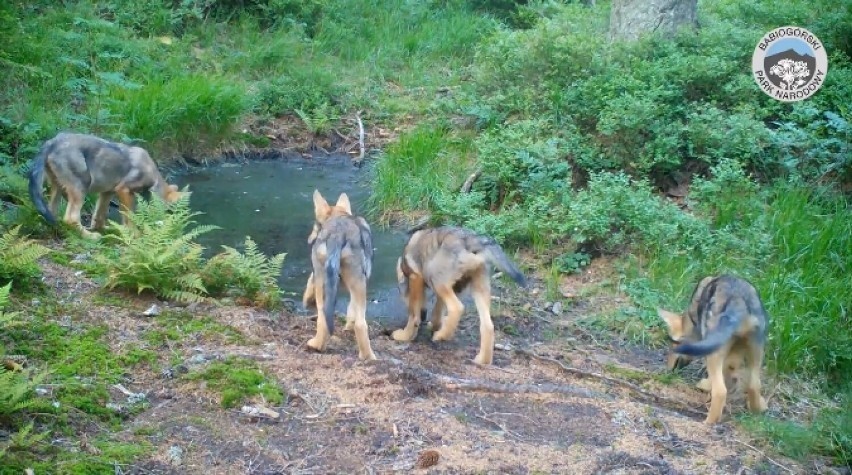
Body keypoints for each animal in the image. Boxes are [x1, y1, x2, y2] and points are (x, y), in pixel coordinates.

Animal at [27, 132, 183, 238]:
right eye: (170, 213)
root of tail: (52, 141)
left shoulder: (107, 192)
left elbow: (99, 216)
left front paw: (109, 230)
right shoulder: (124, 190)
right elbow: (129, 217)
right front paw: (133, 234)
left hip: (57, 189)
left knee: (51, 214)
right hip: (82, 186)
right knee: (71, 218)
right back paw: (90, 237)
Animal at [302, 190, 376, 360]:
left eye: (315, 226)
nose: (309, 240)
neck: (339, 215)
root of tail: (337, 233)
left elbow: (310, 279)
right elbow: (352, 310)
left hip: (325, 283)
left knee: (323, 319)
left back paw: (316, 345)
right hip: (357, 283)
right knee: (361, 324)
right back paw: (369, 357)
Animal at [392, 226, 524, 364]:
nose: (424, 316)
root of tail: (471, 239)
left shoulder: (415, 277)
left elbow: (413, 314)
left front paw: (405, 335)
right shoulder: (454, 288)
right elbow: (437, 311)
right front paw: (435, 325)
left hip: (436, 278)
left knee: (457, 308)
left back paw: (442, 336)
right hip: (478, 287)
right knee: (488, 326)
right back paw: (482, 360)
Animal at [656, 276, 768, 428]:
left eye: (672, 343)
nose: (667, 371)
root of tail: (738, 301)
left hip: (715, 355)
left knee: (720, 391)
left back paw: (708, 422)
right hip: (756, 352)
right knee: (754, 385)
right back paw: (757, 410)